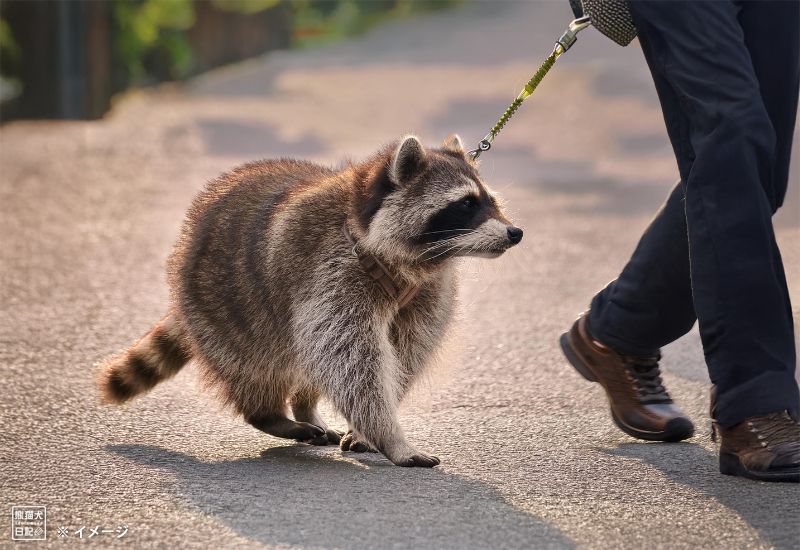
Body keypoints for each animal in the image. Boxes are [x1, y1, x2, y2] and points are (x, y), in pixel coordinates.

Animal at [97, 136, 520, 468]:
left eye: (489, 200)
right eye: (466, 204)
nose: (515, 233)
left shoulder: (426, 291)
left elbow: (403, 354)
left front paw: (368, 428)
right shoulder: (331, 273)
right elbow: (353, 361)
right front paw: (388, 434)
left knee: (307, 359)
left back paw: (304, 405)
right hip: (222, 307)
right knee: (261, 364)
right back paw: (269, 413)